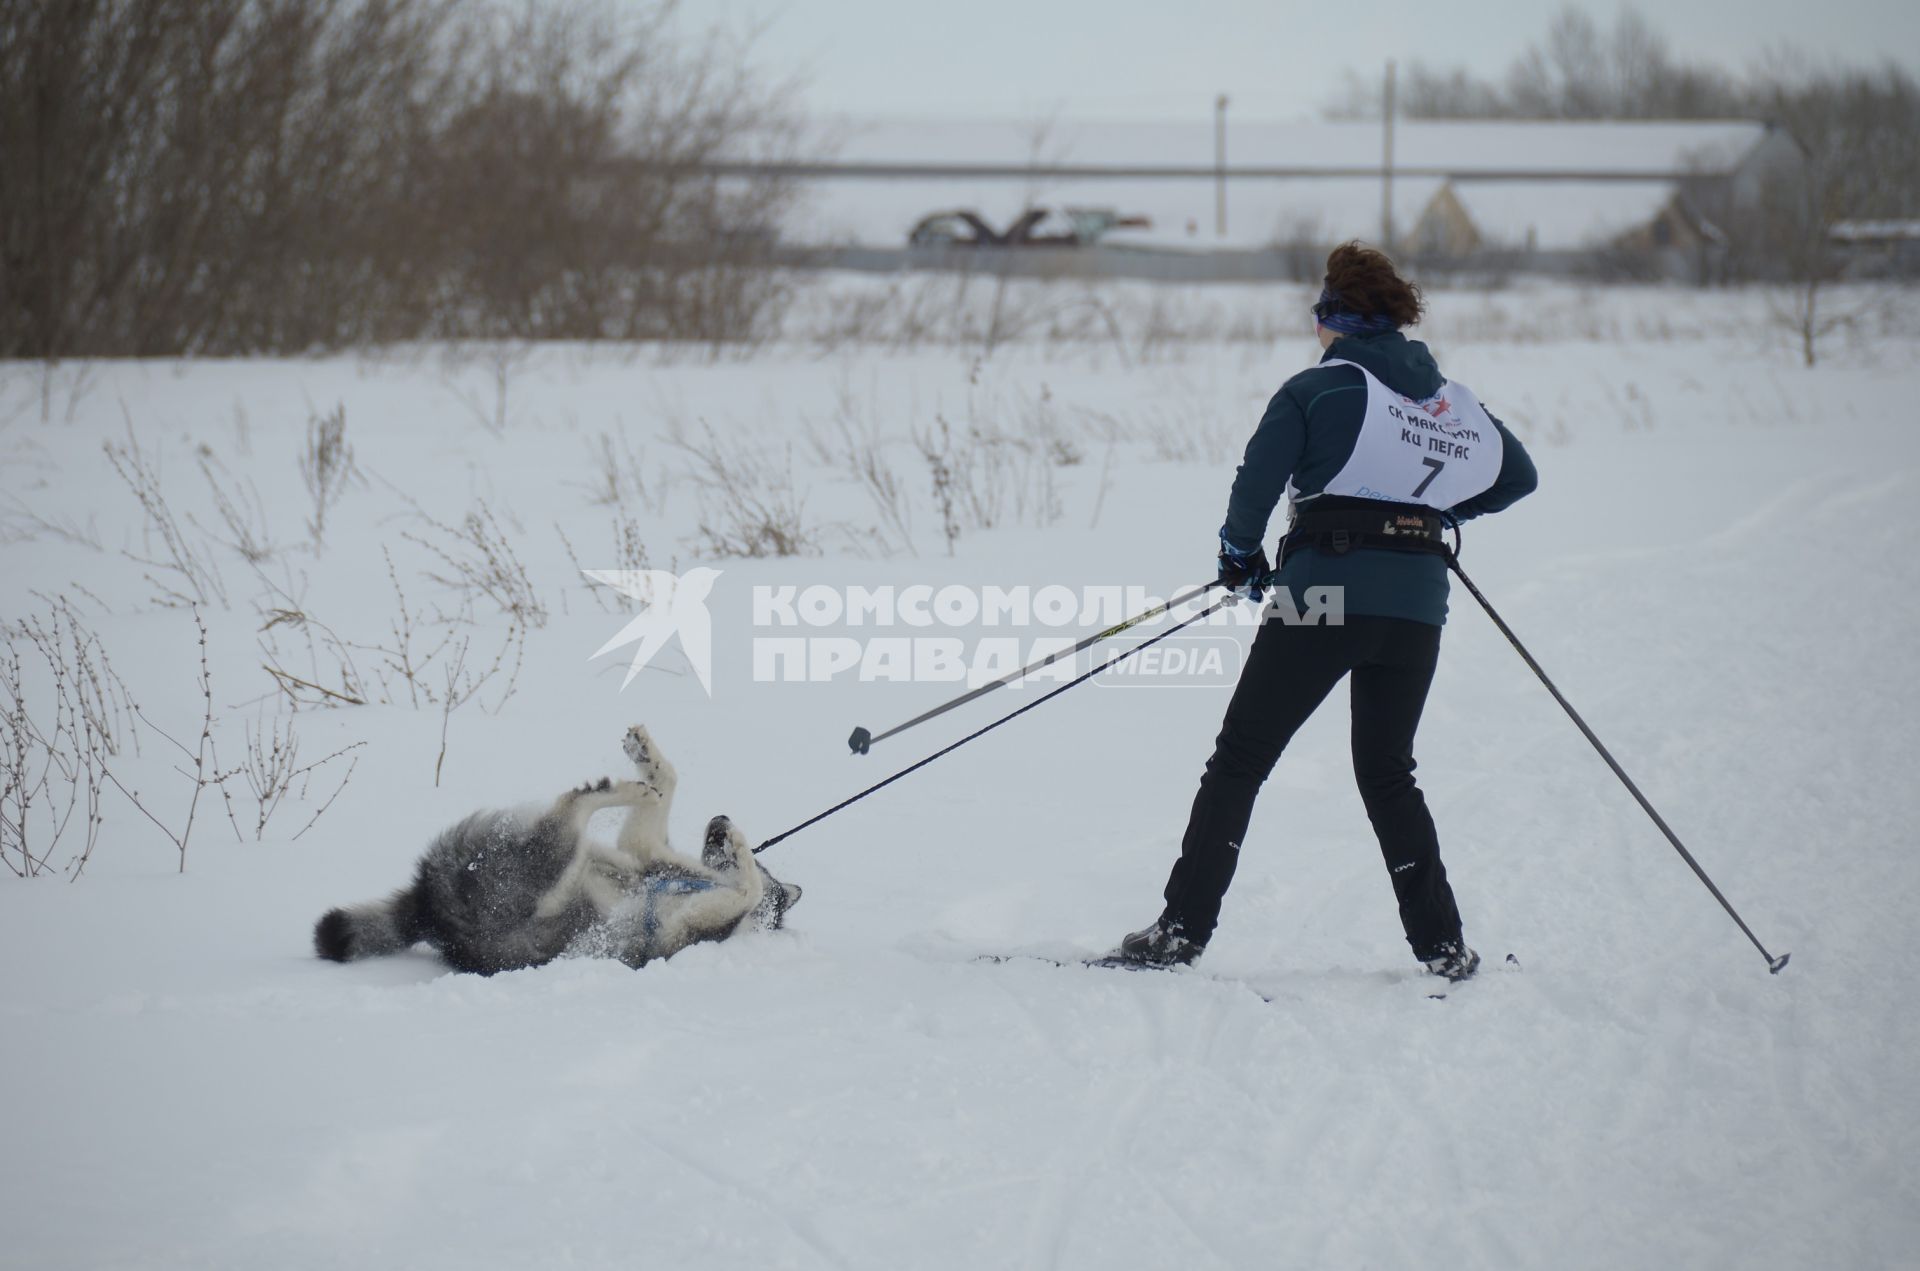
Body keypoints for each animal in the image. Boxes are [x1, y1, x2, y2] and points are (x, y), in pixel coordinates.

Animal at [318, 725, 798, 975]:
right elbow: (669, 788)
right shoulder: (644, 854)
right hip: (555, 862)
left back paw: (606, 790)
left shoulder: (684, 929)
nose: (720, 820)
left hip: (534, 869)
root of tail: (428, 910)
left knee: (569, 812)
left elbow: (750, 890)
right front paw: (651, 761)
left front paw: (741, 847)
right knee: (577, 812)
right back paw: (627, 786)